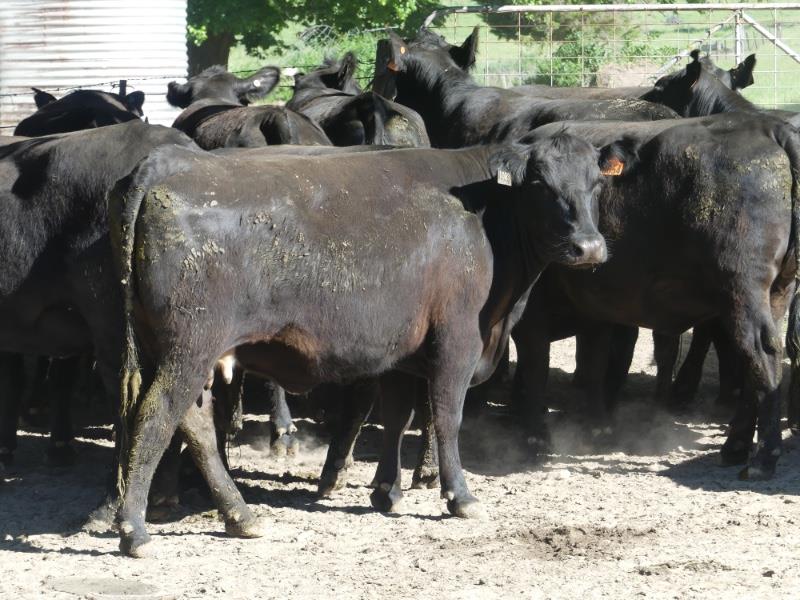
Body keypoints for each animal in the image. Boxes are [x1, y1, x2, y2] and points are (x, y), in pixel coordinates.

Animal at [108, 128, 627, 556]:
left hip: (182, 353)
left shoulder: (400, 352)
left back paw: (240, 516)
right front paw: (459, 496)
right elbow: (447, 418)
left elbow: (397, 416)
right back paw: (135, 530)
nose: (589, 247)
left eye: (595, 185)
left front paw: (385, 491)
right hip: (189, 350)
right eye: (540, 185)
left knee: (193, 426)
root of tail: (167, 168)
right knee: (157, 418)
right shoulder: (457, 341)